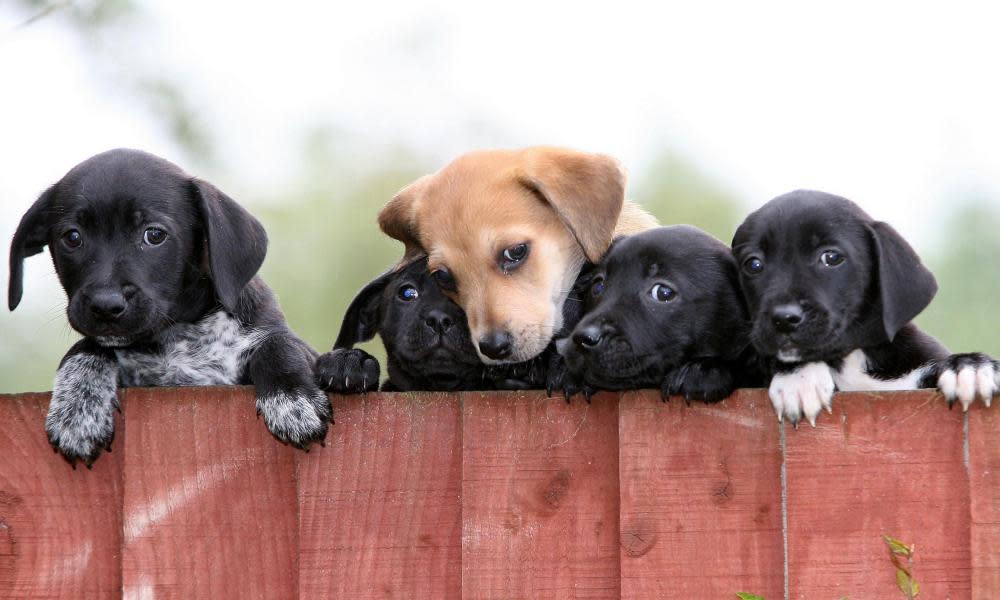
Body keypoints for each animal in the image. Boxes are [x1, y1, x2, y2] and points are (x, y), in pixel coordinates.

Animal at [9, 148, 330, 466]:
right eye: (72, 237)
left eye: (154, 235)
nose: (105, 305)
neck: (177, 336)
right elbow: (87, 346)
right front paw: (78, 409)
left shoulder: (293, 346)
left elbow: (277, 345)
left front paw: (291, 400)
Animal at [728, 190, 1000, 424]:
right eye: (753, 264)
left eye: (831, 257)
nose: (784, 318)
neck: (852, 358)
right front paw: (798, 378)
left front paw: (970, 366)